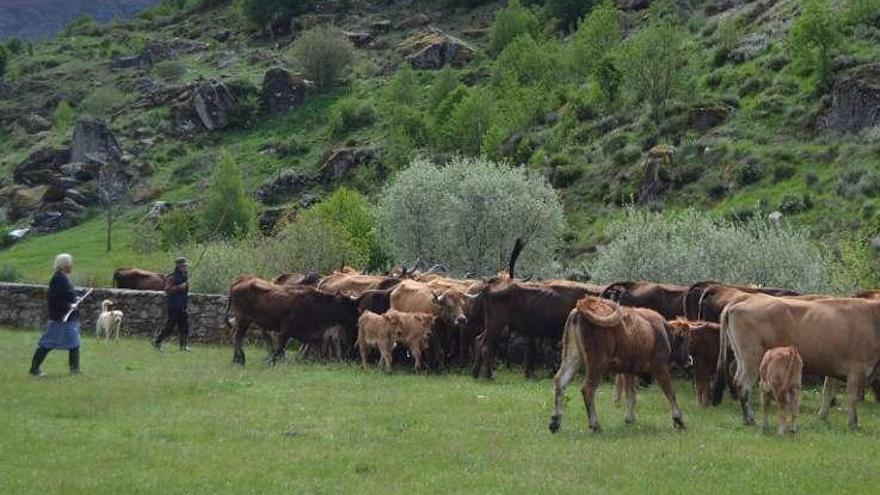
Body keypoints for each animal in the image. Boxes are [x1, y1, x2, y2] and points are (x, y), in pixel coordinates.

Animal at [230, 278, 364, 366]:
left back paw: (238, 359)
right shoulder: (285, 331)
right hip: (242, 319)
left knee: (238, 337)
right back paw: (239, 360)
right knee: (237, 337)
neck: (314, 305)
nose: (358, 318)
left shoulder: (313, 335)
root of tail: (238, 283)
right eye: (347, 305)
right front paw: (272, 362)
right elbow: (279, 348)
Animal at [552, 296, 688, 432]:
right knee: (588, 389)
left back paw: (555, 423)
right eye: (683, 339)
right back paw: (595, 425)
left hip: (572, 358)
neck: (660, 330)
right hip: (597, 364)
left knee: (560, 381)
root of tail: (581, 308)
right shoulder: (660, 367)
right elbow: (670, 392)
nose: (689, 360)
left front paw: (629, 419)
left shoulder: (629, 371)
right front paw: (679, 420)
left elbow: (630, 394)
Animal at [716, 294, 880, 430]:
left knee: (737, 380)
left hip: (742, 356)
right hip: (752, 357)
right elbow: (852, 397)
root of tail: (748, 297)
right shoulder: (857, 368)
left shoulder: (833, 368)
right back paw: (750, 419)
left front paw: (821, 418)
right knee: (744, 385)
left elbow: (828, 392)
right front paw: (854, 424)